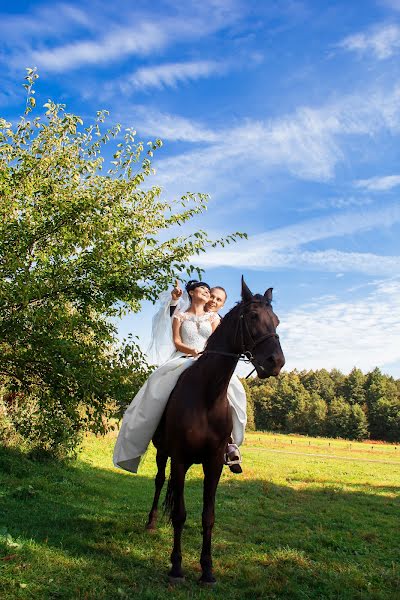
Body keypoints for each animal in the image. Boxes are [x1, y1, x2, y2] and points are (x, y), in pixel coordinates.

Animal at [147, 278, 284, 584]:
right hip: (163, 454)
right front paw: (176, 567)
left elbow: (208, 516)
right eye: (253, 317)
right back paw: (150, 522)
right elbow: (180, 514)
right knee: (159, 481)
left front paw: (207, 570)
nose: (276, 362)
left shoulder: (213, 463)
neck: (207, 395)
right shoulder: (180, 459)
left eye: (277, 321)